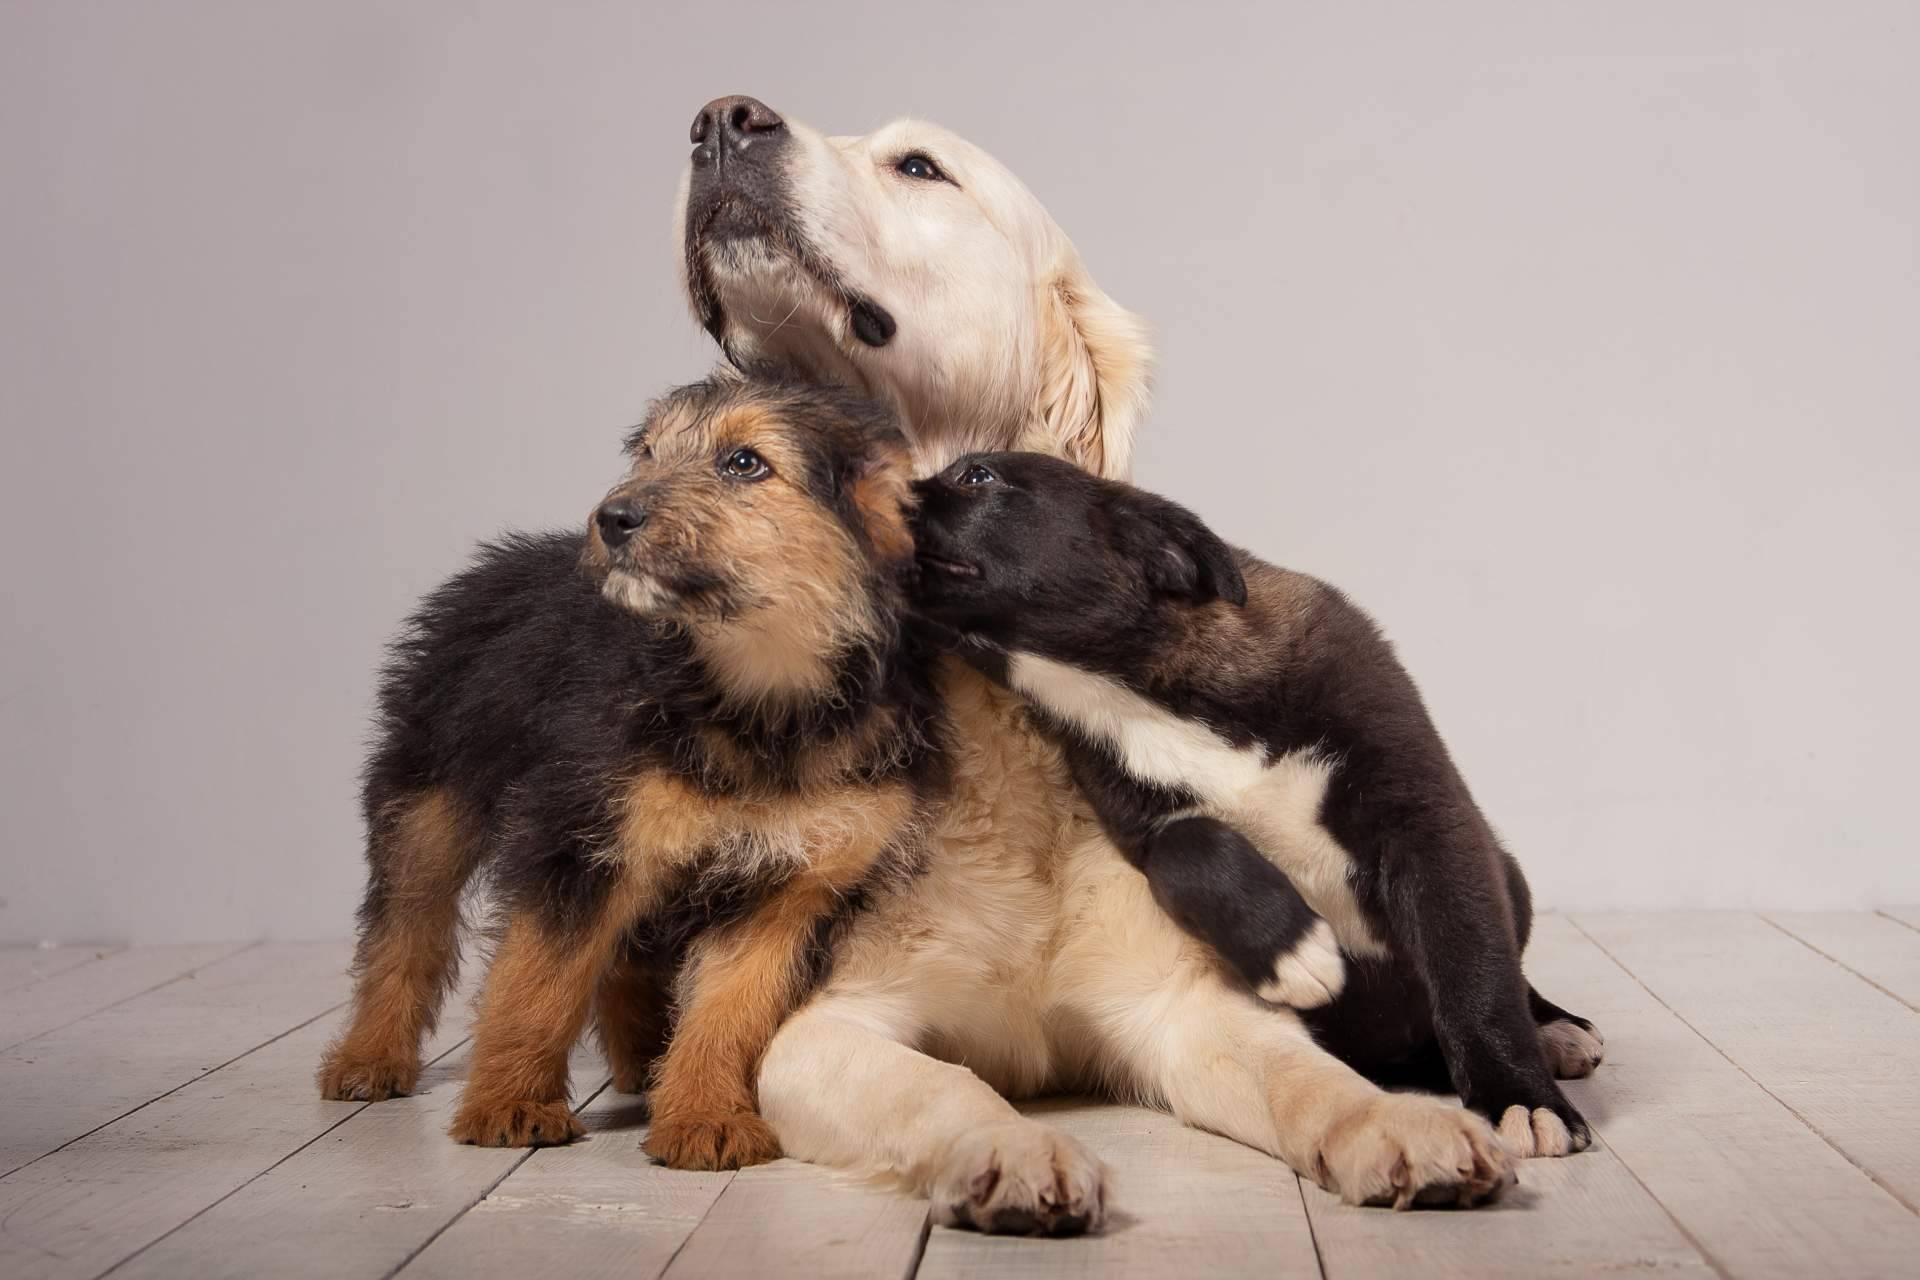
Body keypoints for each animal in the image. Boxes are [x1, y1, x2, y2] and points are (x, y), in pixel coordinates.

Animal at [316, 372, 944, 1174]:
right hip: (428, 805)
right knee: (405, 934)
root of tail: (497, 565)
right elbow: (539, 981)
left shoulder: (786, 888)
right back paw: (370, 1058)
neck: (761, 699)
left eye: (745, 463)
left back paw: (643, 1058)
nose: (612, 517)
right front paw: (509, 1105)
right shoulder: (578, 842)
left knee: (622, 954)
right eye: (647, 453)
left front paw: (705, 1113)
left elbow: (730, 1011)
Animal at [913, 452, 1605, 1159]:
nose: (893, 483)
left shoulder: (1427, 824)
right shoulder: (1142, 826)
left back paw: (1556, 1029)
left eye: (976, 478)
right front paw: (1290, 951)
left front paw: (1518, 1096)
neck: (1129, 690)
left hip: (1509, 876)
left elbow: (1472, 969)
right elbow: (1191, 850)